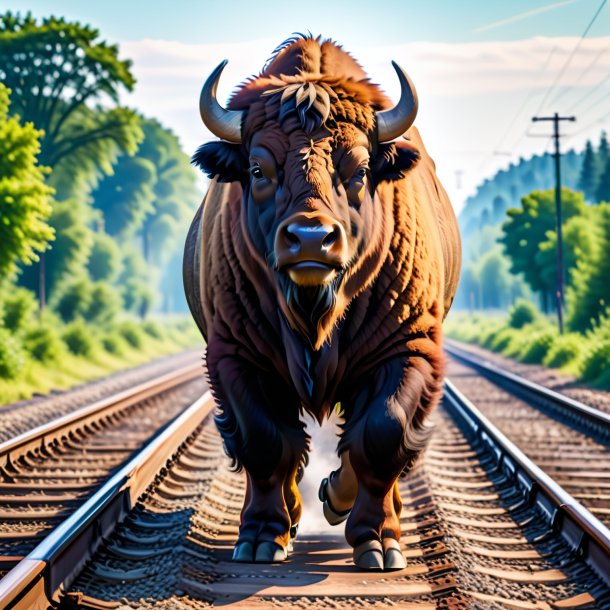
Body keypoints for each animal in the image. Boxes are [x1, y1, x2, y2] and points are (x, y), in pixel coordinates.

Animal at [183, 35, 458, 568]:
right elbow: (265, 441)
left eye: (361, 169)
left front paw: (377, 540)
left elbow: (382, 432)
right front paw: (262, 538)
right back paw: (289, 518)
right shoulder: (234, 357)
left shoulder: (408, 348)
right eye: (258, 168)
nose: (311, 238)